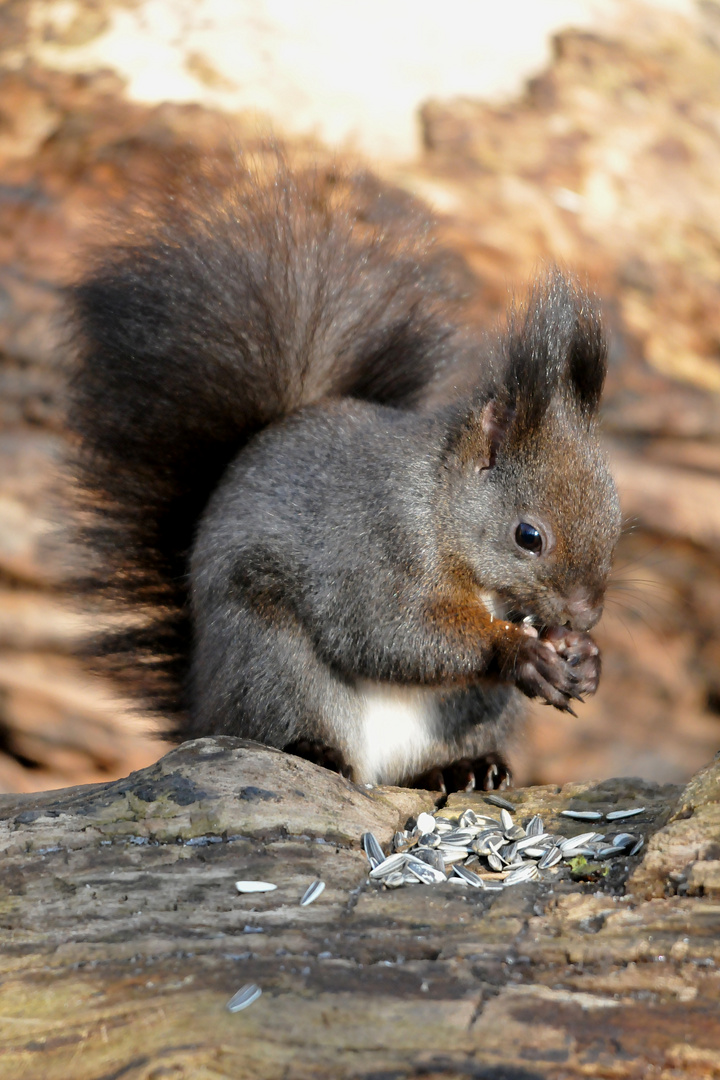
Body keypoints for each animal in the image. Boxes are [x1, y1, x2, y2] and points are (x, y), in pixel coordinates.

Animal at [64, 154, 621, 794]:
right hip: (272, 657)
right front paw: (519, 654)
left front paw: (585, 657)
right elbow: (390, 631)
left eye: (616, 523)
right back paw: (316, 751)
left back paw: (465, 768)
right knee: (285, 720)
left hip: (469, 710)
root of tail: (204, 708)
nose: (587, 614)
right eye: (528, 536)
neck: (439, 505)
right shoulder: (371, 549)